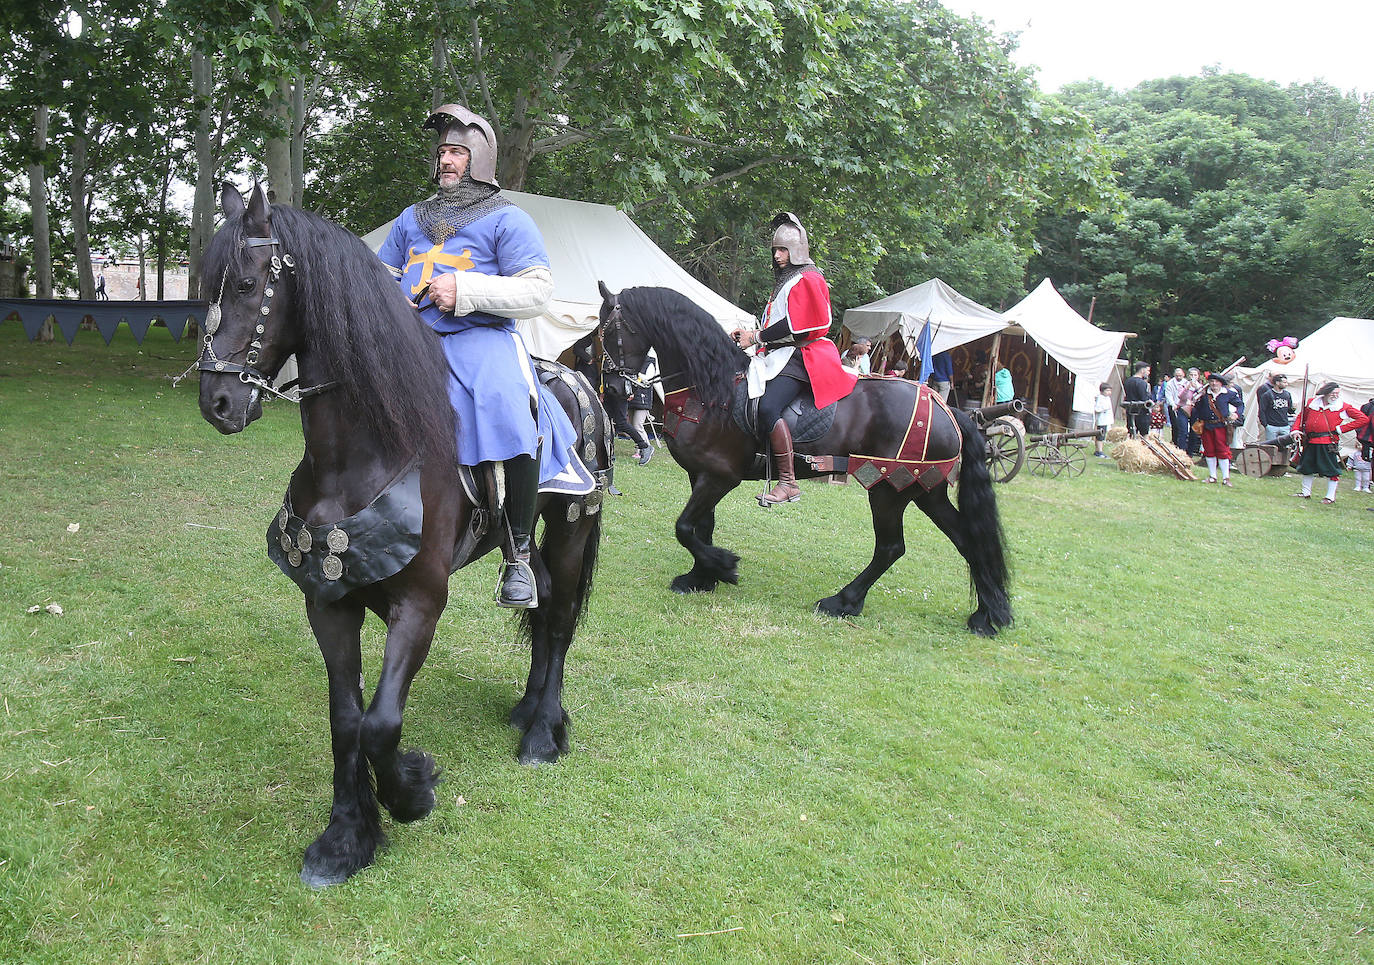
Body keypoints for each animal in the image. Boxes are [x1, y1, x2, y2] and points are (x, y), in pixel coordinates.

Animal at [195, 182, 607, 890]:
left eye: (247, 283)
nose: (216, 402)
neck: (362, 453)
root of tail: (579, 381)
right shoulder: (328, 601)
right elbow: (346, 721)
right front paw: (345, 838)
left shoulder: (419, 605)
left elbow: (381, 725)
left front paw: (412, 790)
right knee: (543, 601)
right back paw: (528, 709)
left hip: (570, 527)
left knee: (555, 621)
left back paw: (541, 736)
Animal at [599, 283, 1011, 637]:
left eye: (609, 330)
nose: (616, 389)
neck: (712, 389)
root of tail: (946, 407)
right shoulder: (700, 474)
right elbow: (702, 527)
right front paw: (701, 577)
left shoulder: (721, 476)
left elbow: (684, 527)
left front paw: (724, 567)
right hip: (924, 491)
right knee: (967, 539)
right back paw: (986, 615)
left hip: (887, 490)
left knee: (891, 547)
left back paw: (843, 601)